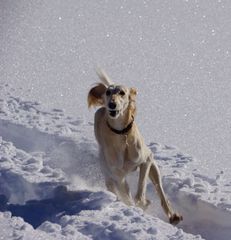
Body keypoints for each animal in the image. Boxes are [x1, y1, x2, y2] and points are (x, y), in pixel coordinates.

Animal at [87, 69, 183, 225]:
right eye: (108, 92)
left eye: (122, 92)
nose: (112, 104)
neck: (122, 135)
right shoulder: (118, 176)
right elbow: (129, 196)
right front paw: (139, 205)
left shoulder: (146, 160)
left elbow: (141, 187)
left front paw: (143, 202)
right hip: (109, 177)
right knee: (119, 190)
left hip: (154, 168)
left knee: (160, 191)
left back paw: (173, 215)